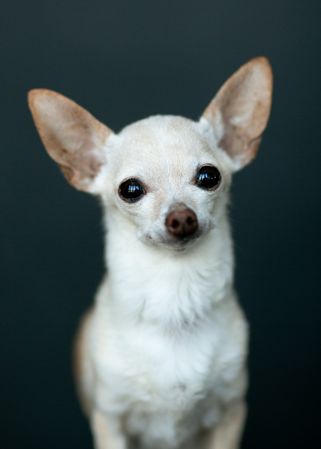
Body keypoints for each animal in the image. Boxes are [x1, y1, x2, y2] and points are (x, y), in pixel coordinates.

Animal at [28, 57, 272, 448]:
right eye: (130, 190)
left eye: (209, 177)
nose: (181, 217)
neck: (174, 296)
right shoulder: (109, 420)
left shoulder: (230, 413)